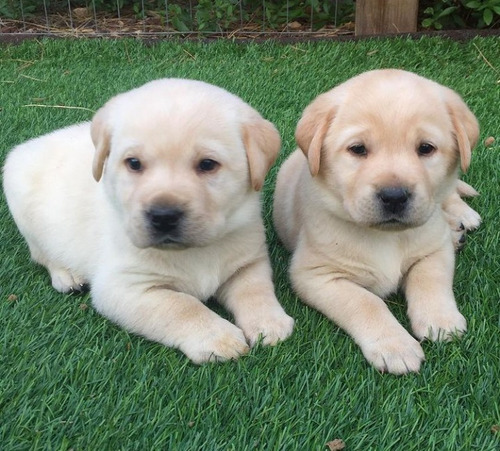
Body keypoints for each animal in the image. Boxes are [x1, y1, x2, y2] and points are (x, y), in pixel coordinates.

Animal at [3, 79, 292, 366]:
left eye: (208, 164)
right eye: (133, 163)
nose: (163, 215)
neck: (193, 252)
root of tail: (35, 143)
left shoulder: (249, 260)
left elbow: (255, 289)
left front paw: (269, 322)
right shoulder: (123, 288)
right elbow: (181, 306)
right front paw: (217, 337)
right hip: (24, 210)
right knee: (41, 254)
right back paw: (67, 274)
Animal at [274, 69, 480, 374]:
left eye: (426, 148)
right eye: (358, 149)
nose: (394, 196)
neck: (387, 236)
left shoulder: (433, 250)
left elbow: (430, 279)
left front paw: (440, 319)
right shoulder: (316, 275)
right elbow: (366, 302)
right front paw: (396, 346)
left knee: (450, 194)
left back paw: (463, 217)